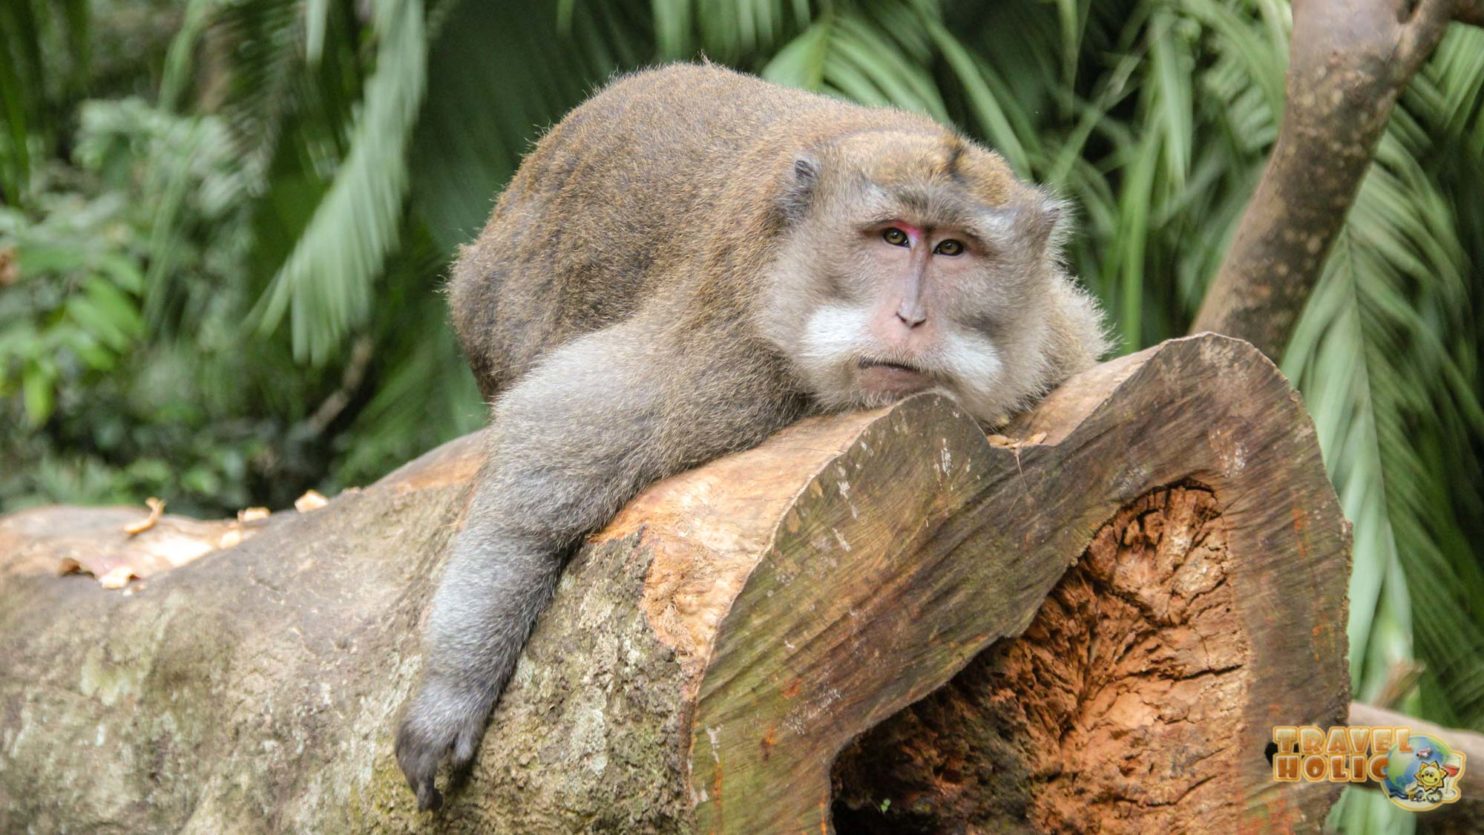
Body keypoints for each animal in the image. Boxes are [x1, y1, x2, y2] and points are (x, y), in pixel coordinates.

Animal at [394, 60, 1104, 812]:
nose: (912, 317)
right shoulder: (727, 371)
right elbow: (546, 447)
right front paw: (454, 687)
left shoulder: (1054, 346)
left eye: (951, 249)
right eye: (893, 238)